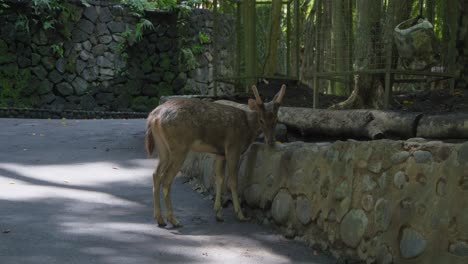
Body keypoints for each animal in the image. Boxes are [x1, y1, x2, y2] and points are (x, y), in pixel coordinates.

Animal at [145, 84, 286, 227]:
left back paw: (160, 219)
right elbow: (233, 181)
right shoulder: (233, 148)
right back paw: (173, 220)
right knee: (166, 179)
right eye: (261, 120)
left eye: (276, 120)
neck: (247, 129)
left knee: (156, 174)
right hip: (179, 146)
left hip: (163, 148)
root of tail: (154, 116)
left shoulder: (220, 153)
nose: (271, 141)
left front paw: (218, 213)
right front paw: (240, 215)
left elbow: (219, 178)